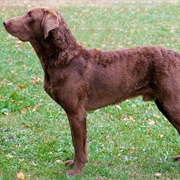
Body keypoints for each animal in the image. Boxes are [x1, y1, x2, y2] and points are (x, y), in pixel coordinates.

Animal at [3, 7, 180, 176]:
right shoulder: (75, 113)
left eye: (29, 15)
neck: (63, 58)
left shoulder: (76, 112)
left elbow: (78, 145)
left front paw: (76, 171)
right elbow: (78, 143)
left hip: (171, 103)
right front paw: (74, 164)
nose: (4, 21)